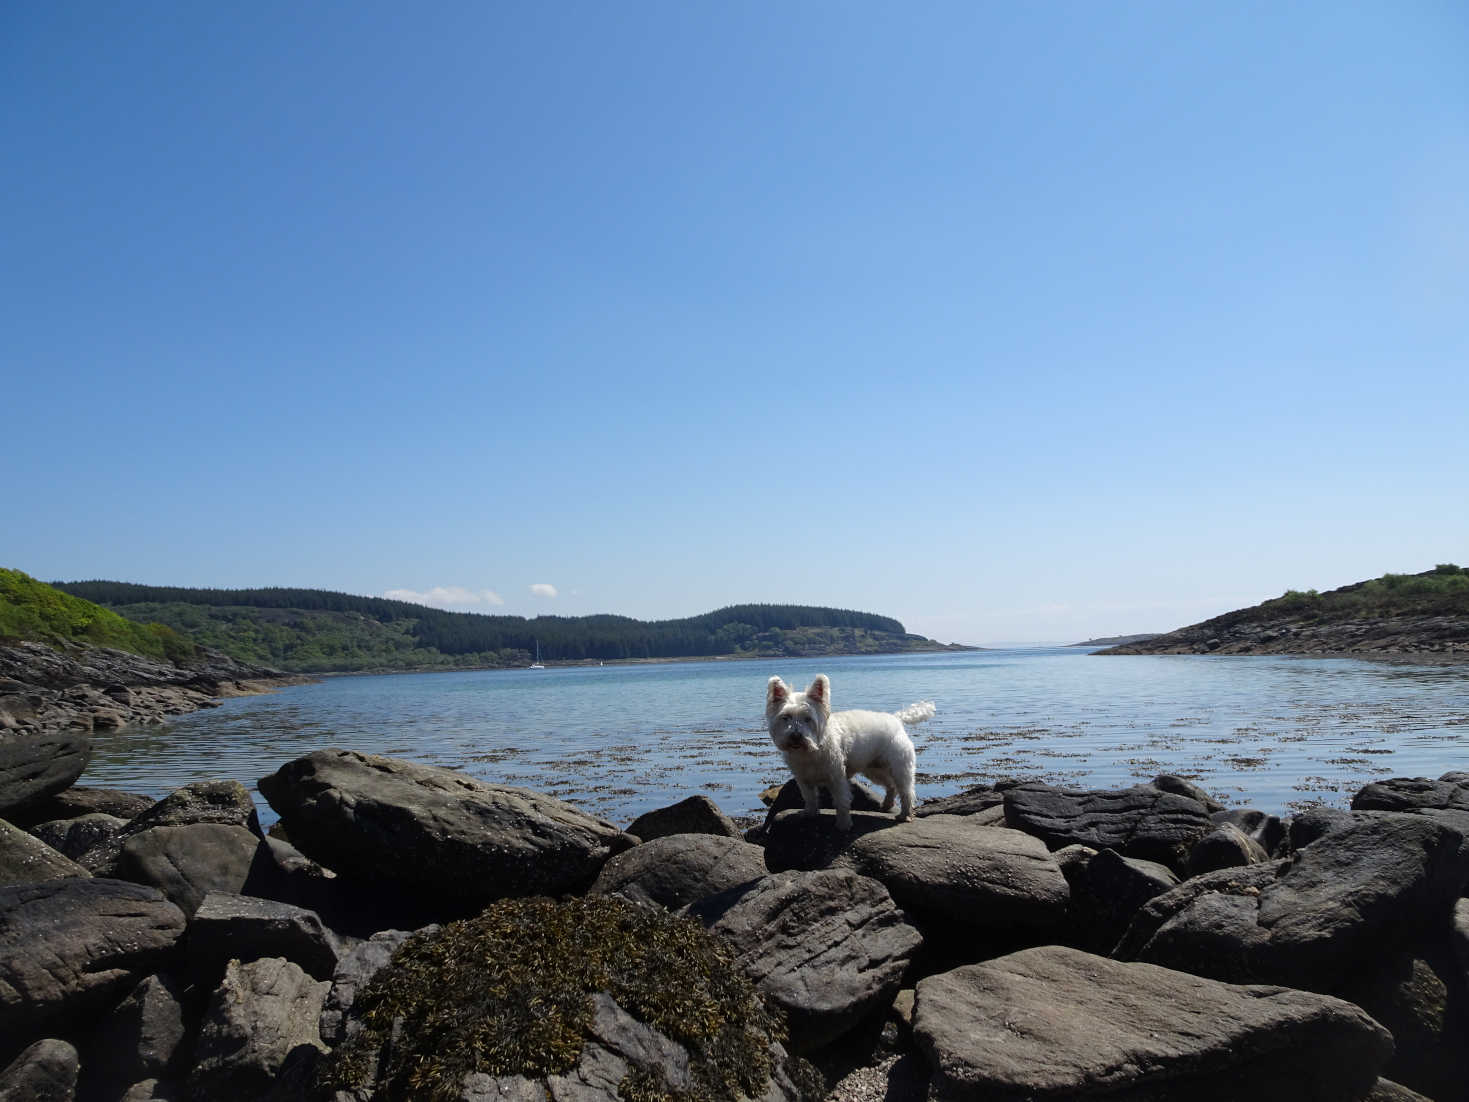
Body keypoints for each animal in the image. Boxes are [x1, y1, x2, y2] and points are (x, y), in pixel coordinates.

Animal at [763, 678, 934, 834]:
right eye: (785, 717)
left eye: (808, 718)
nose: (795, 736)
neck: (810, 751)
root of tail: (896, 718)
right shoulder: (803, 779)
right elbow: (810, 798)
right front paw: (810, 814)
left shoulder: (837, 778)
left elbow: (842, 801)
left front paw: (844, 824)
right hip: (874, 770)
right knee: (891, 785)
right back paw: (886, 805)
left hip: (899, 768)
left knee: (906, 791)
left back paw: (904, 815)